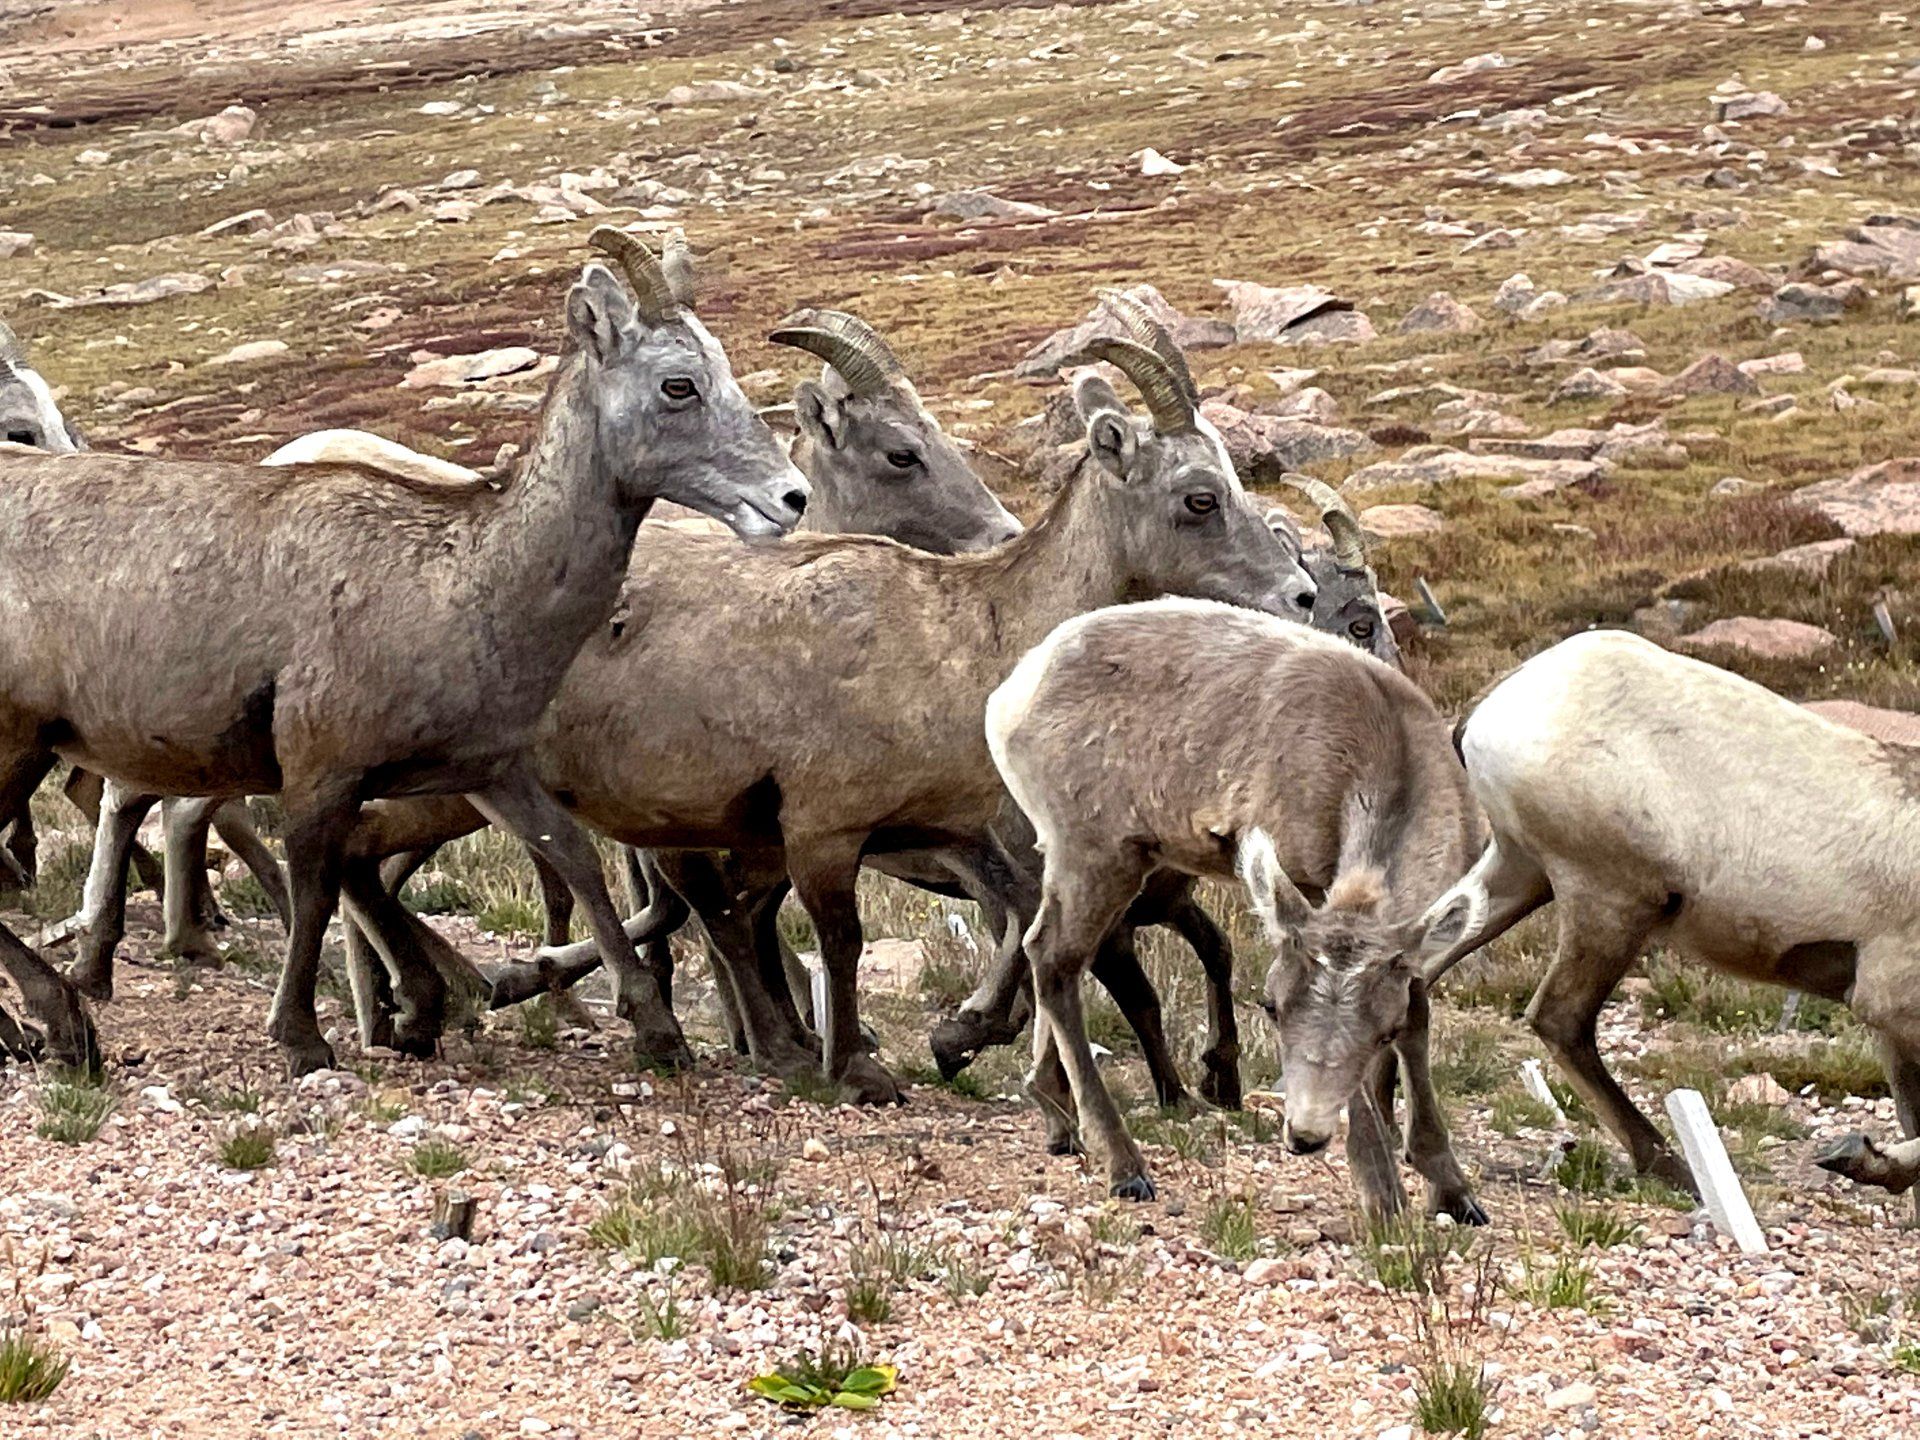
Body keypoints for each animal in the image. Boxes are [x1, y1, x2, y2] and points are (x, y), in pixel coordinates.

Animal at [0, 231, 806, 1075]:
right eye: (679, 384)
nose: (790, 497)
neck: (461, 583)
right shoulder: (321, 771)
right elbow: (317, 888)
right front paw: (305, 1036)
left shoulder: (488, 771)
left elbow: (574, 860)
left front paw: (653, 1031)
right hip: (20, 741)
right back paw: (62, 1018)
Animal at [334, 330, 1320, 1105]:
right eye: (1200, 497)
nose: (1301, 595)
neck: (974, 635)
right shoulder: (823, 827)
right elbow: (838, 941)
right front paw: (862, 1067)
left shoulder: (937, 832)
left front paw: (934, 1042)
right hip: (461, 785)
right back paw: (463, 1004)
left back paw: (434, 1004)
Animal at [990, 599, 1482, 1221]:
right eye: (1270, 1006)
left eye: (1383, 1029)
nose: (1304, 1136)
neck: (1394, 752)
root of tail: (1009, 697)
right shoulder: (1307, 879)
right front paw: (1382, 1193)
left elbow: (1420, 1018)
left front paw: (1455, 1191)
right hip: (1098, 850)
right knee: (1054, 957)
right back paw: (1125, 1168)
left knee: (1044, 947)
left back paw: (1058, 1121)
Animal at [1413, 625, 1920, 1198]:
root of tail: (1496, 705)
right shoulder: (1890, 1004)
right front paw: (1857, 1158)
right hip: (1610, 900)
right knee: (1560, 1018)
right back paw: (1670, 1165)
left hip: (1521, 873)